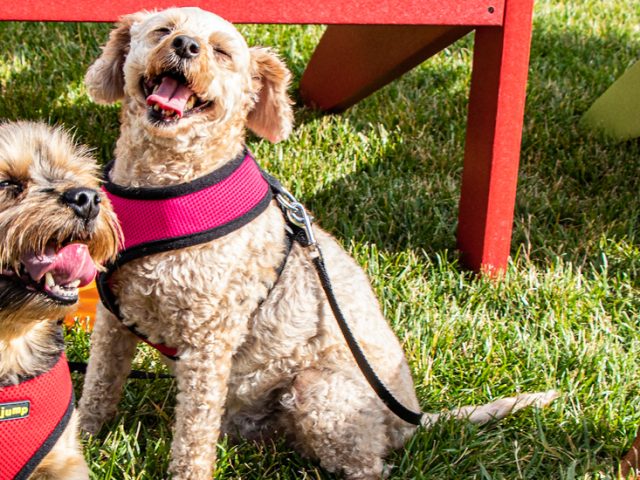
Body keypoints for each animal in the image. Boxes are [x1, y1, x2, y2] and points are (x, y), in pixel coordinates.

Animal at [77, 7, 556, 480]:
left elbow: (193, 434)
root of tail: (411, 419)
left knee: (370, 467)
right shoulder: (113, 321)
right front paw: (80, 439)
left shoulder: (208, 341)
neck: (165, 190)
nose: (186, 45)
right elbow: (99, 386)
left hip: (319, 391)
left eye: (221, 51)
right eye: (164, 30)